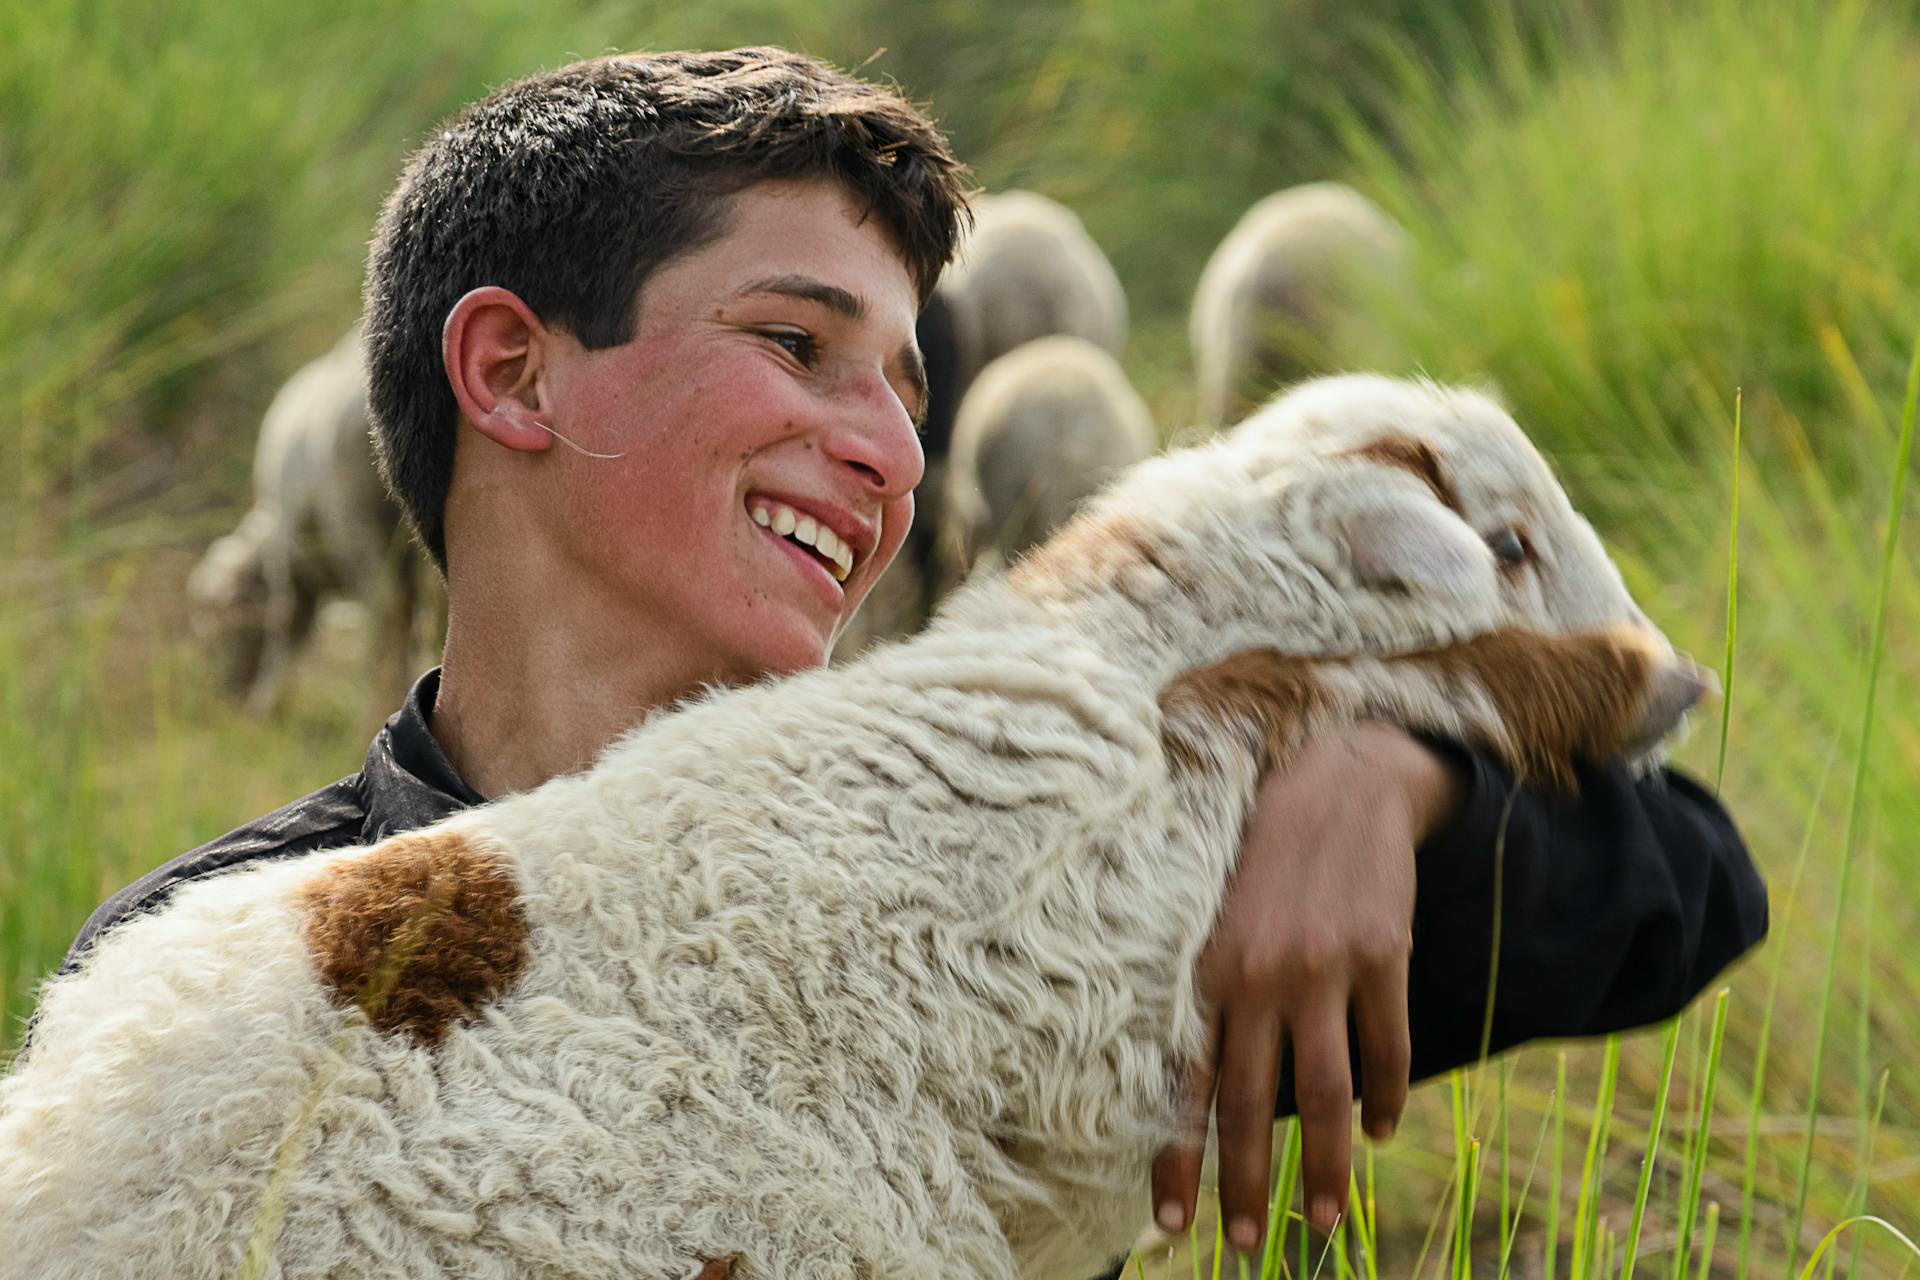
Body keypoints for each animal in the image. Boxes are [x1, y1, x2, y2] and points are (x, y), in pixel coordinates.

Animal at [188, 326, 435, 717]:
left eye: (222, 628)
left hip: (356, 516)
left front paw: (264, 706)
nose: (226, 696)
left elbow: (286, 629)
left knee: (387, 613)